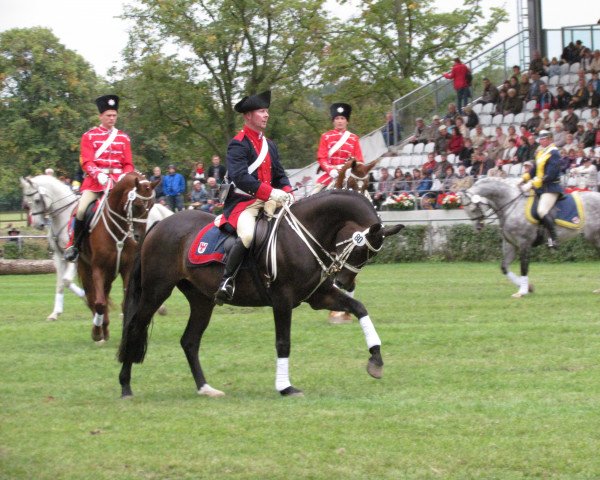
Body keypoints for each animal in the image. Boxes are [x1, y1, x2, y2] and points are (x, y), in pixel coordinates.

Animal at [20, 175, 84, 318]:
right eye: (27, 202)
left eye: (37, 200)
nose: (37, 225)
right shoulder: (59, 256)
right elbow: (61, 282)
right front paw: (55, 312)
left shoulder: (75, 256)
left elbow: (66, 280)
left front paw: (84, 295)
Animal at [78, 172, 158, 342]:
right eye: (137, 205)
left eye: (152, 206)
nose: (140, 236)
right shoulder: (98, 268)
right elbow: (99, 303)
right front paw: (96, 333)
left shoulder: (127, 268)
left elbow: (124, 304)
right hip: (85, 267)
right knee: (92, 297)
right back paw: (99, 330)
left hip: (109, 273)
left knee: (104, 293)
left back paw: (105, 328)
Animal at [117, 190, 404, 398]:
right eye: (361, 249)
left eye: (370, 254)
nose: (343, 280)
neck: (303, 235)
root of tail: (159, 224)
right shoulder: (282, 300)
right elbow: (283, 342)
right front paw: (285, 387)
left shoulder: (319, 297)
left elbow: (359, 308)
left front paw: (376, 359)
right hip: (156, 292)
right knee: (135, 328)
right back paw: (125, 386)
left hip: (201, 300)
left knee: (189, 341)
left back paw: (205, 388)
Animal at [462, 176, 600, 296]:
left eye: (473, 208)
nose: (478, 227)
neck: (511, 205)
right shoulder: (510, 244)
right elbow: (504, 267)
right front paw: (529, 287)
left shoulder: (524, 243)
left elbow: (524, 267)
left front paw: (522, 292)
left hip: (595, 237)